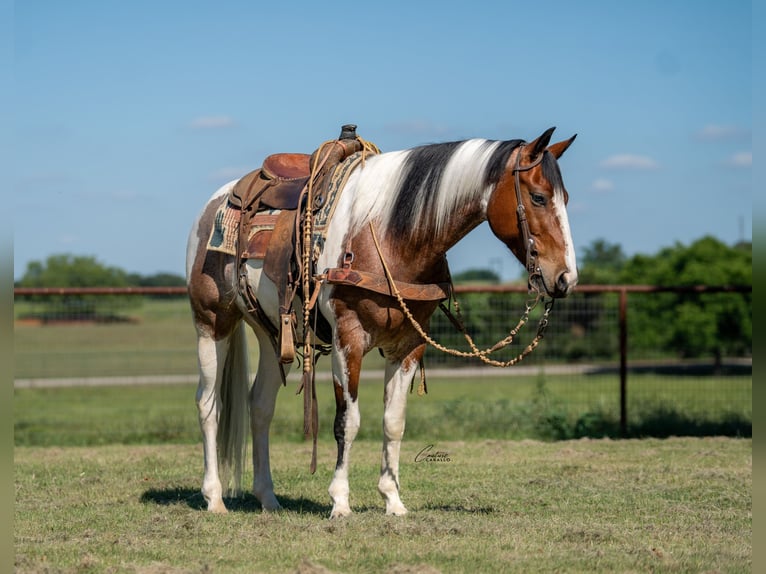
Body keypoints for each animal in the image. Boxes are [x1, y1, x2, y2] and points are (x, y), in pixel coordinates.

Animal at [185, 126, 578, 518]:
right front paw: (340, 502)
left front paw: (393, 500)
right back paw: (215, 498)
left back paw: (268, 498)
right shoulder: (348, 339)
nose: (565, 278)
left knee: (260, 406)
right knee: (208, 405)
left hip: (270, 333)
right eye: (539, 197)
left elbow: (394, 422)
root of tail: (216, 202)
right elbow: (348, 422)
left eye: (566, 198)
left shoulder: (409, 345)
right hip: (212, 323)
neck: (389, 234)